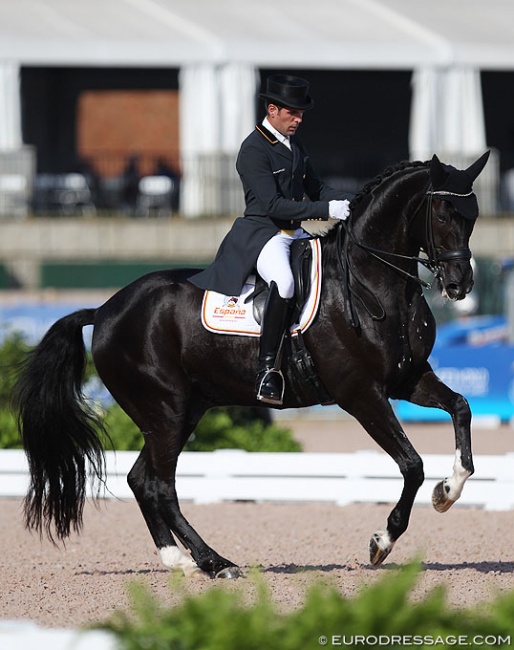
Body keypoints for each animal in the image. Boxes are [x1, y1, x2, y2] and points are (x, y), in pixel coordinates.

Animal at [14, 153, 488, 576]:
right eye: (443, 214)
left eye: (473, 217)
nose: (460, 284)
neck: (371, 281)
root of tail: (104, 310)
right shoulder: (361, 394)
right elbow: (411, 464)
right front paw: (381, 542)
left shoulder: (407, 379)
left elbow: (460, 408)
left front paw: (449, 490)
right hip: (164, 410)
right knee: (161, 485)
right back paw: (215, 563)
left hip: (183, 410)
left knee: (140, 479)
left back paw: (178, 560)